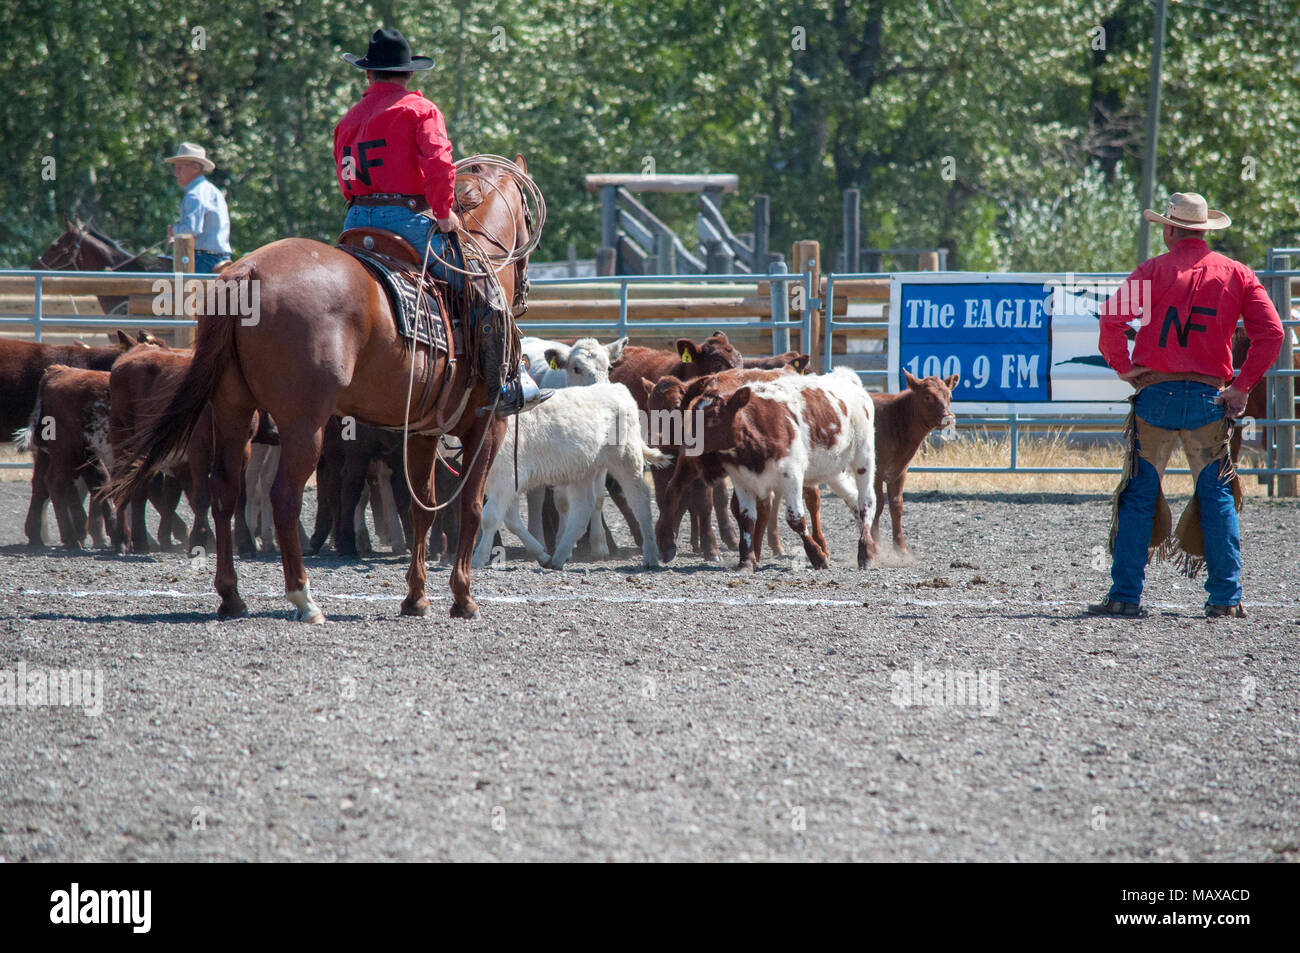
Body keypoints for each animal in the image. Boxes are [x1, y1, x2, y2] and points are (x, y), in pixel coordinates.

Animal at [111, 152, 533, 621]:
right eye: (528, 214)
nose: (523, 290)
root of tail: (245, 272)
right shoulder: (487, 425)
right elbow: (471, 507)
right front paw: (462, 597)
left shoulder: (421, 432)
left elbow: (421, 506)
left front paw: (416, 597)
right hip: (303, 424)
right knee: (284, 497)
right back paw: (303, 597)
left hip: (233, 411)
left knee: (225, 491)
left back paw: (231, 596)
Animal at [655, 369, 878, 569]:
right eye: (690, 415)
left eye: (713, 418)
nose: (686, 447)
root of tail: (845, 378)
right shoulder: (742, 480)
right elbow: (746, 517)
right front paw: (746, 560)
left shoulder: (792, 476)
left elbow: (795, 519)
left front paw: (817, 557)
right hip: (832, 469)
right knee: (851, 499)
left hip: (863, 457)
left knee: (866, 501)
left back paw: (865, 551)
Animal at [868, 369, 961, 553]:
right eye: (927, 396)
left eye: (949, 396)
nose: (948, 418)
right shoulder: (876, 471)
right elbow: (878, 504)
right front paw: (876, 543)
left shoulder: (899, 471)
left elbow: (896, 505)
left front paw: (900, 548)